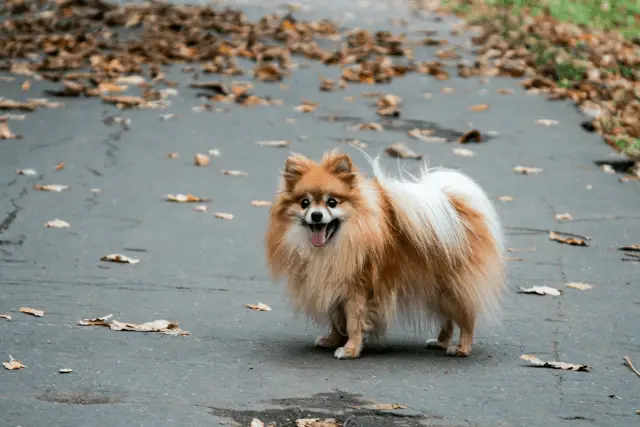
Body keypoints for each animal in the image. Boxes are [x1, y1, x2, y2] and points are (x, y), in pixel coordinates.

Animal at [264, 150, 504, 362]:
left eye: (332, 202)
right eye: (304, 203)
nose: (316, 215)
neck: (336, 243)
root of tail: (455, 206)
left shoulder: (357, 289)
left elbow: (353, 321)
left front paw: (350, 349)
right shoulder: (335, 283)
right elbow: (337, 318)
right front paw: (333, 339)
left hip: (452, 286)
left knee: (465, 316)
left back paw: (461, 348)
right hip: (437, 288)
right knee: (448, 318)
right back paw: (441, 342)